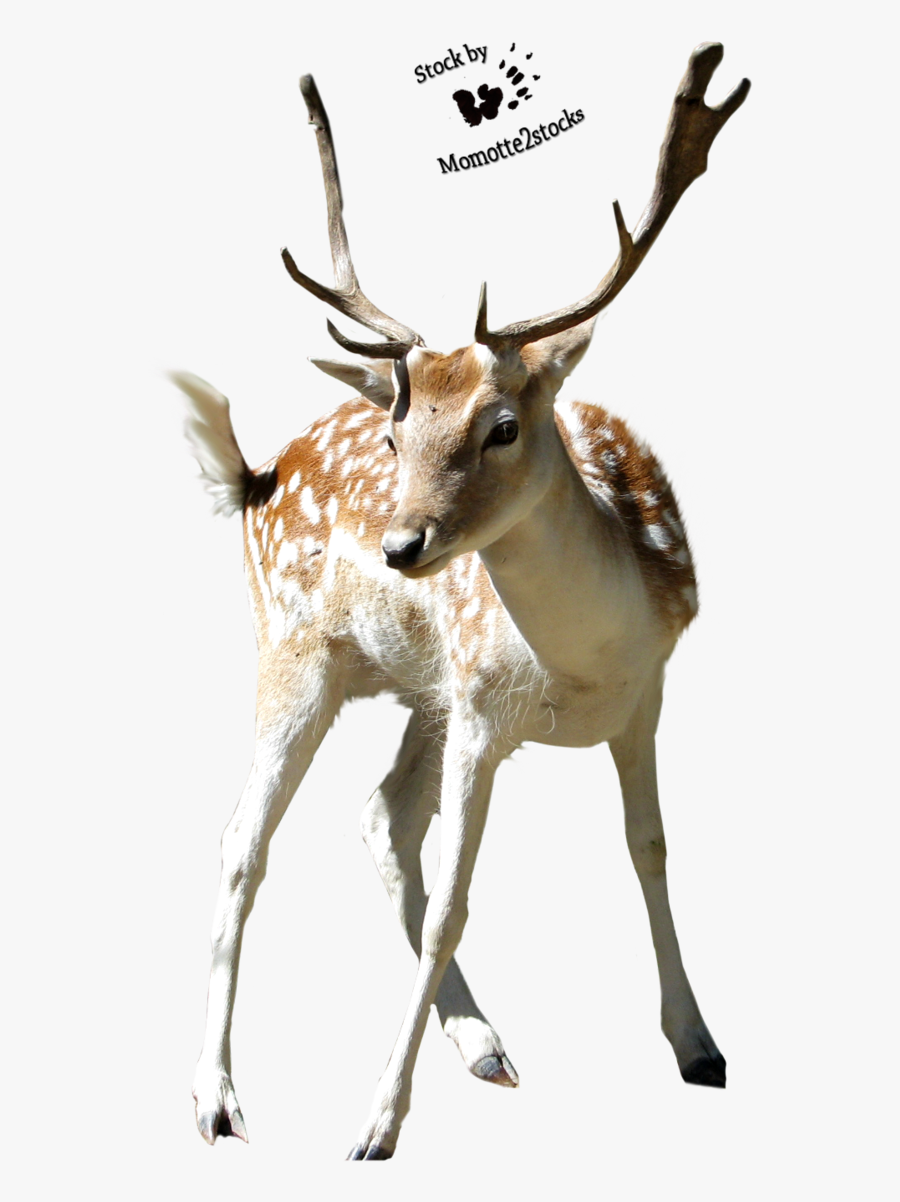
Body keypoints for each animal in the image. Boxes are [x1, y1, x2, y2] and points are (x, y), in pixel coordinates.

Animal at [174, 43, 750, 1160]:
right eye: (397, 434)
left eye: (502, 425)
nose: (401, 544)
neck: (583, 661)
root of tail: (258, 475)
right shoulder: (484, 713)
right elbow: (453, 904)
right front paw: (375, 1123)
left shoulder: (644, 694)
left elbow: (650, 848)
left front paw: (700, 1044)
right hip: (298, 654)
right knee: (242, 842)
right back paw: (216, 1099)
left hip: (421, 690)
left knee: (377, 815)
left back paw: (482, 1042)